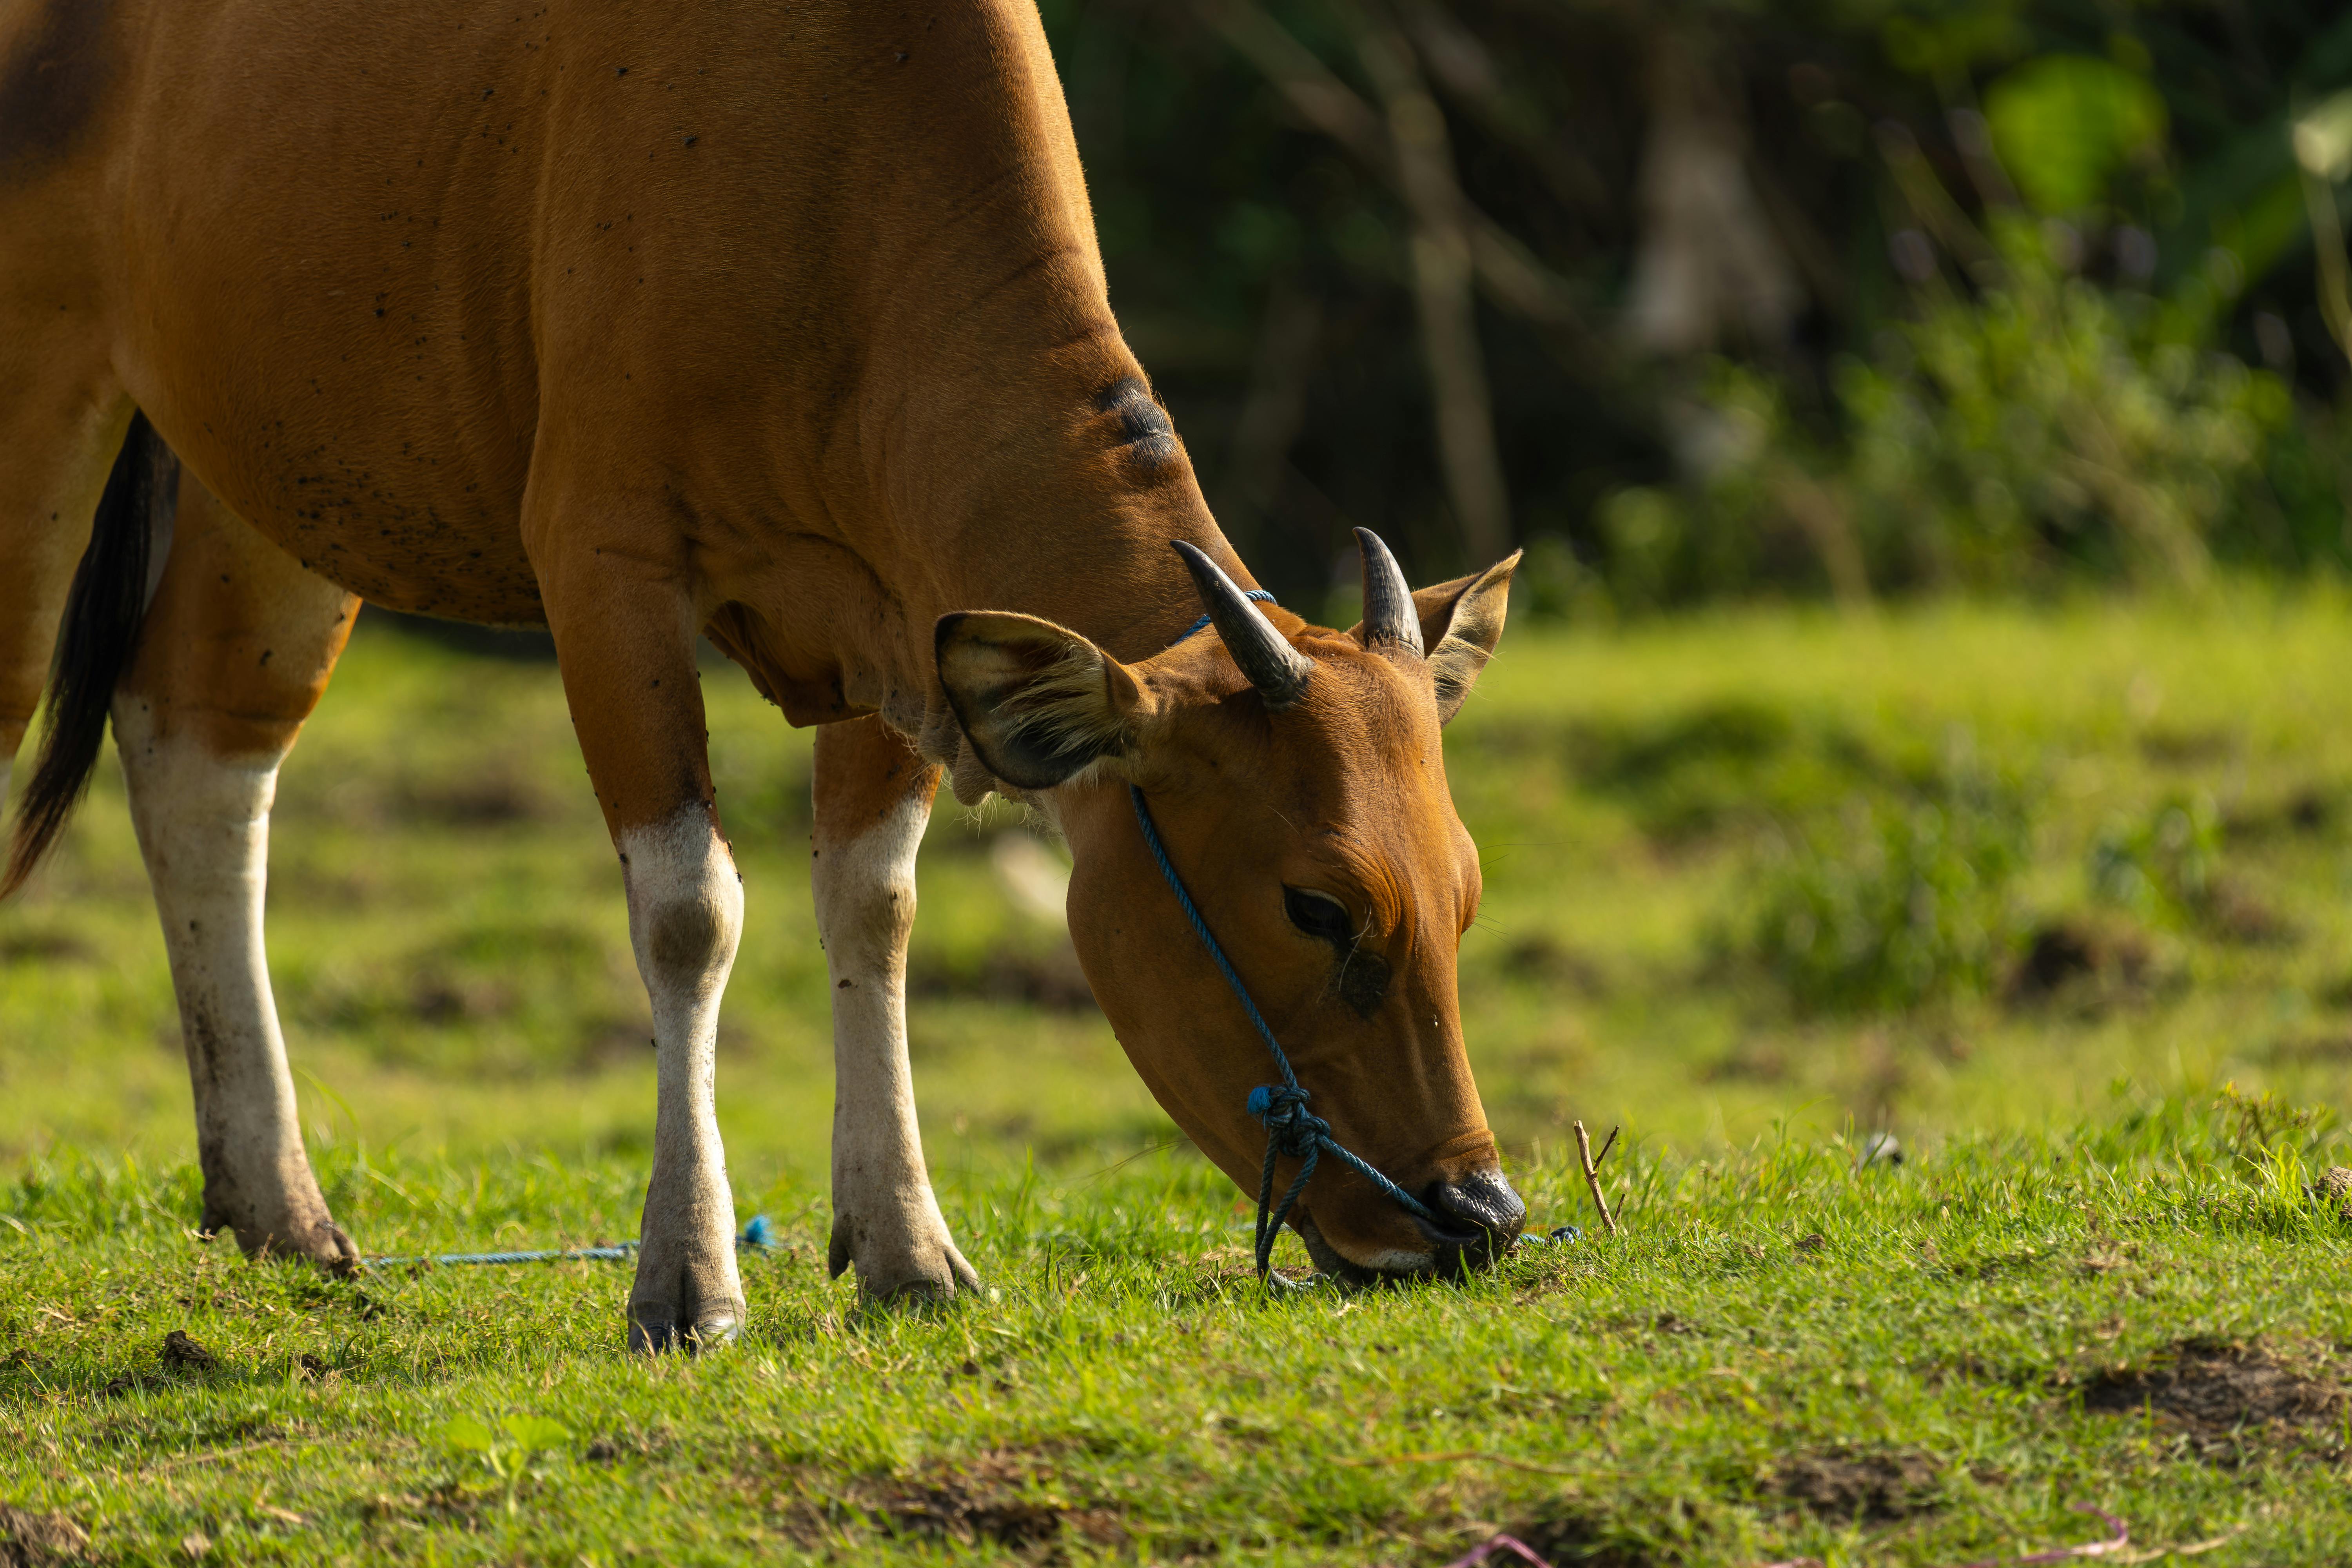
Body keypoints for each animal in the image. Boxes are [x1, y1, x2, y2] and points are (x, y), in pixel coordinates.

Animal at [0, 0, 1525, 1348]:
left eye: (1464, 893)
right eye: (1316, 907)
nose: (1478, 1215)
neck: (831, 167)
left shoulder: (894, 610)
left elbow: (875, 903)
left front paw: (906, 1248)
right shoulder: (604, 559)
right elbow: (690, 910)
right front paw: (688, 1280)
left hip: (265, 464)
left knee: (201, 747)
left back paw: (279, 1205)